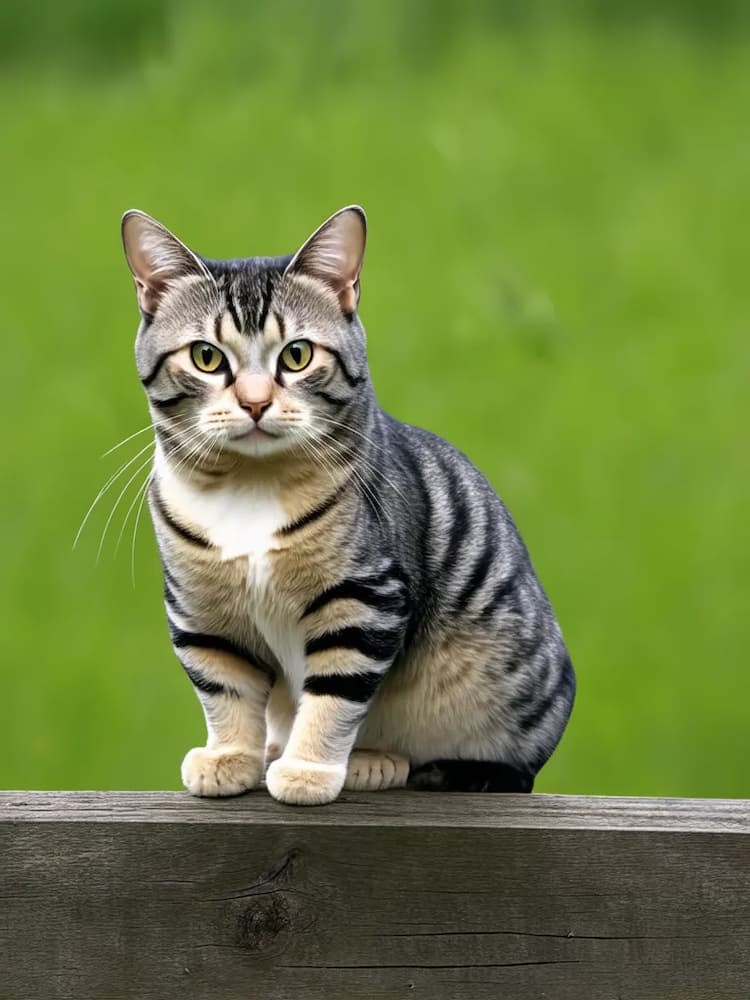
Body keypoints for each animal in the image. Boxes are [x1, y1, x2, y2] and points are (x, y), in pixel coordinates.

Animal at [120, 203, 576, 804]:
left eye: (296, 355)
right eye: (205, 357)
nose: (255, 402)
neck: (251, 488)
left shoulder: (363, 598)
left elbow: (333, 698)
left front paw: (308, 770)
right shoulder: (202, 611)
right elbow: (225, 692)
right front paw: (230, 759)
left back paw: (370, 762)